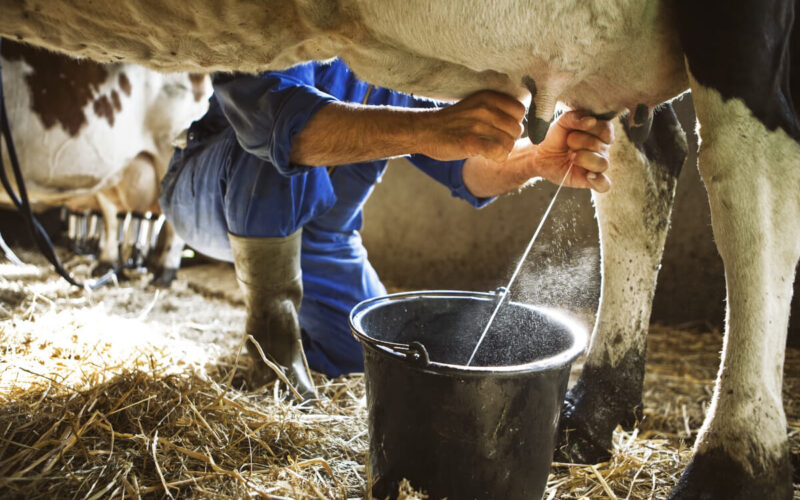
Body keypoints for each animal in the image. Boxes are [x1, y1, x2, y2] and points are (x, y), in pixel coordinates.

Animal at [0, 39, 211, 286]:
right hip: (116, 173)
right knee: (114, 217)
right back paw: (108, 265)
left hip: (170, 148)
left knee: (171, 220)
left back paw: (162, 273)